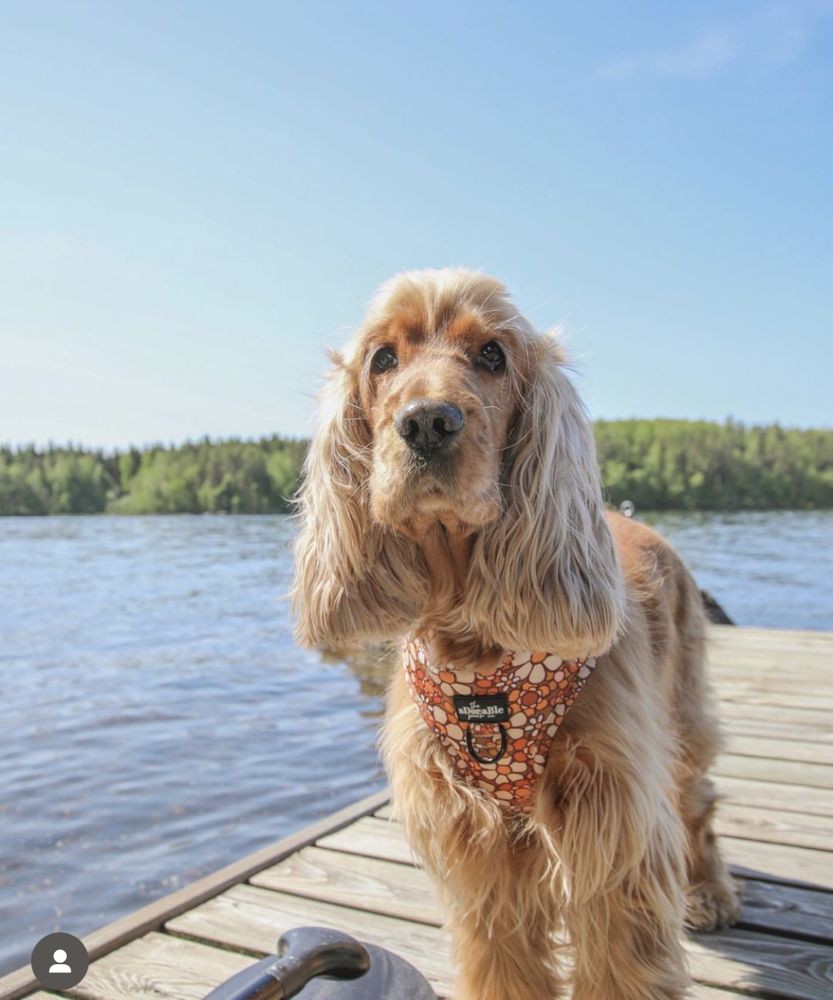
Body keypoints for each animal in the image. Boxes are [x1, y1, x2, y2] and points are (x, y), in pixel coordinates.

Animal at [294, 270, 740, 996]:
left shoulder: (611, 826)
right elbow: (503, 961)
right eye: (382, 359)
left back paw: (711, 892)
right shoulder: (475, 843)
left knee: (696, 803)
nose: (427, 421)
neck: (475, 642)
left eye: (492, 355)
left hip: (680, 716)